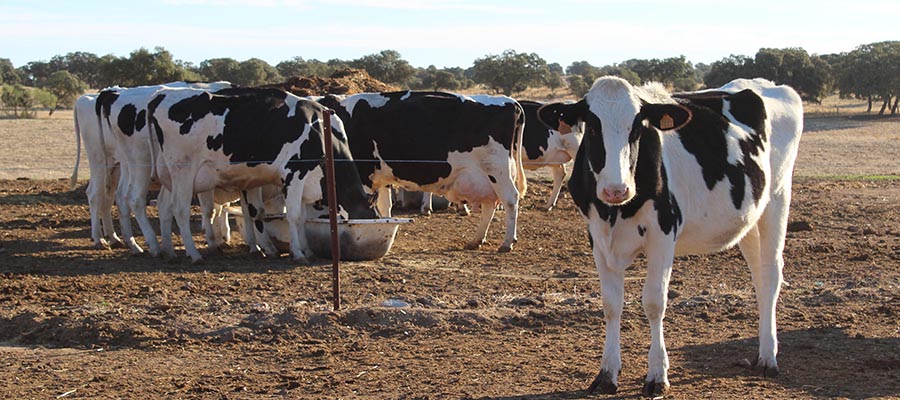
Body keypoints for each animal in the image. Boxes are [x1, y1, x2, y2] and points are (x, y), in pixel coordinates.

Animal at [148, 86, 376, 264]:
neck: (320, 130)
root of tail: (160, 96)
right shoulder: (294, 174)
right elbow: (293, 216)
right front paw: (298, 253)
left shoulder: (305, 181)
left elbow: (300, 218)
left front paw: (306, 250)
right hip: (183, 172)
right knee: (179, 209)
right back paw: (193, 253)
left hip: (168, 175)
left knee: (164, 207)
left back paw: (168, 251)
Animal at [320, 92, 528, 252]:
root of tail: (510, 101)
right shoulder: (381, 177)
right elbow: (385, 208)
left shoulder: (364, 174)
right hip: (486, 176)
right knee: (490, 204)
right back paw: (476, 240)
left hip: (497, 170)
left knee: (510, 200)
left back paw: (507, 242)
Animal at [536, 76, 804, 396]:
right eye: (591, 126)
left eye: (638, 127)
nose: (617, 189)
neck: (616, 211)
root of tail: (764, 82)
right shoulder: (598, 238)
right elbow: (611, 305)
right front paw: (607, 373)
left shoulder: (663, 233)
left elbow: (654, 302)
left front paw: (657, 375)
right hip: (750, 219)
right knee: (760, 278)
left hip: (777, 199)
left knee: (771, 275)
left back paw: (768, 358)